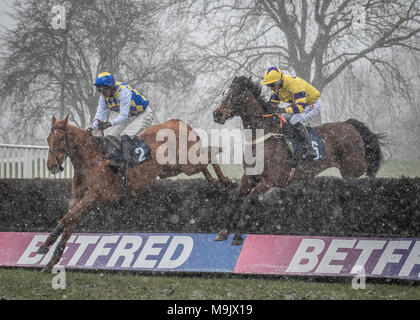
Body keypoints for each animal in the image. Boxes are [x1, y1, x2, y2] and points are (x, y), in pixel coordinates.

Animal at [38, 116, 230, 272]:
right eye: (48, 139)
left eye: (61, 138)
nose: (51, 166)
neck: (91, 160)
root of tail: (178, 122)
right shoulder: (77, 198)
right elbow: (69, 220)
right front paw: (50, 258)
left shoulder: (94, 195)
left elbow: (67, 218)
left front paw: (46, 246)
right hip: (173, 169)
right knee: (204, 162)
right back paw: (213, 182)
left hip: (186, 163)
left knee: (210, 154)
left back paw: (224, 178)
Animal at [213, 75, 384, 245]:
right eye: (224, 93)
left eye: (235, 94)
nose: (217, 114)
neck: (263, 138)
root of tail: (349, 124)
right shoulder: (249, 176)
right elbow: (236, 198)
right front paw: (224, 231)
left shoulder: (270, 180)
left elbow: (249, 200)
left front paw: (237, 234)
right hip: (350, 171)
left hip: (353, 167)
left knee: (369, 167)